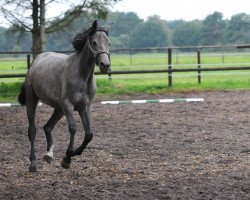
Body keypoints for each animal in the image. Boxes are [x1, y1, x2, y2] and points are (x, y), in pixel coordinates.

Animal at [17, 20, 111, 173]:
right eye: (94, 42)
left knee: (47, 127)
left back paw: (48, 155)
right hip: (33, 100)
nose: (105, 65)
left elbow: (89, 134)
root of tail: (36, 61)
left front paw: (70, 155)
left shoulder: (85, 107)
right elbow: (73, 128)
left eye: (109, 43)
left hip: (59, 109)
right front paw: (67, 158)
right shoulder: (68, 105)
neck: (82, 76)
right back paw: (33, 163)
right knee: (32, 130)